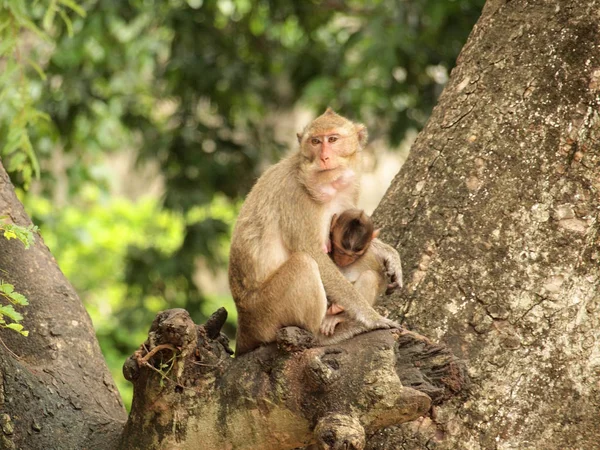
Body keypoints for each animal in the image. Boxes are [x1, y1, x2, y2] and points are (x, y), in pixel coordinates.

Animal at [230, 109, 404, 356]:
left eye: (332, 139)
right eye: (315, 142)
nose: (324, 157)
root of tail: (244, 326)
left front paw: (389, 254)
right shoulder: (295, 194)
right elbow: (312, 252)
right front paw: (372, 318)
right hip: (266, 312)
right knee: (303, 263)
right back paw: (321, 334)